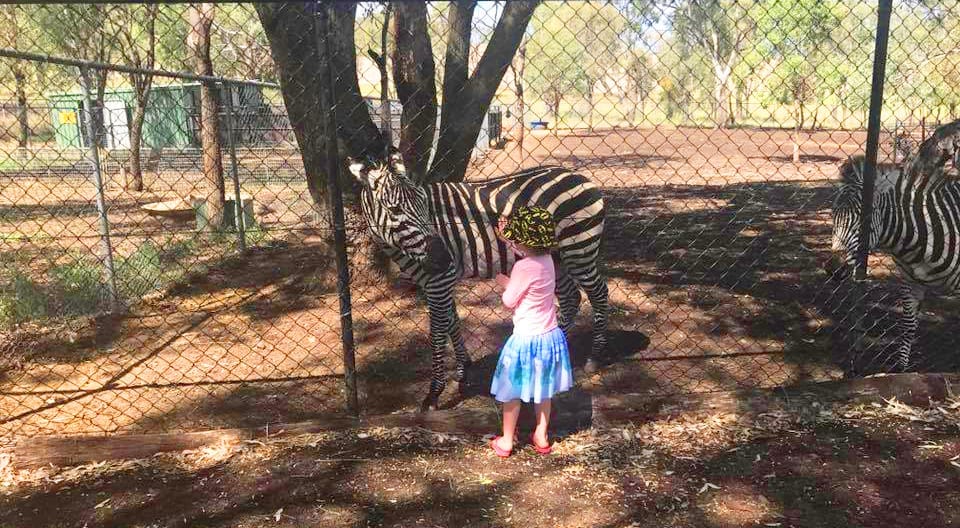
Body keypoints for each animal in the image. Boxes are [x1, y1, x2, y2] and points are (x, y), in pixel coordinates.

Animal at [348, 153, 612, 412]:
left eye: (425, 204)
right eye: (393, 209)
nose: (443, 257)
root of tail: (580, 177)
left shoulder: (439, 281)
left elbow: (437, 332)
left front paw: (434, 393)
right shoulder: (437, 281)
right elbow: (452, 322)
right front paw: (464, 370)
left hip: (578, 250)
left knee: (599, 294)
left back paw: (594, 356)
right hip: (556, 260)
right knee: (571, 298)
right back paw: (550, 356)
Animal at [828, 119, 960, 374]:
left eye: (864, 220)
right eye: (833, 217)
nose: (832, 269)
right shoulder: (911, 282)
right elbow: (907, 327)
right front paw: (901, 370)